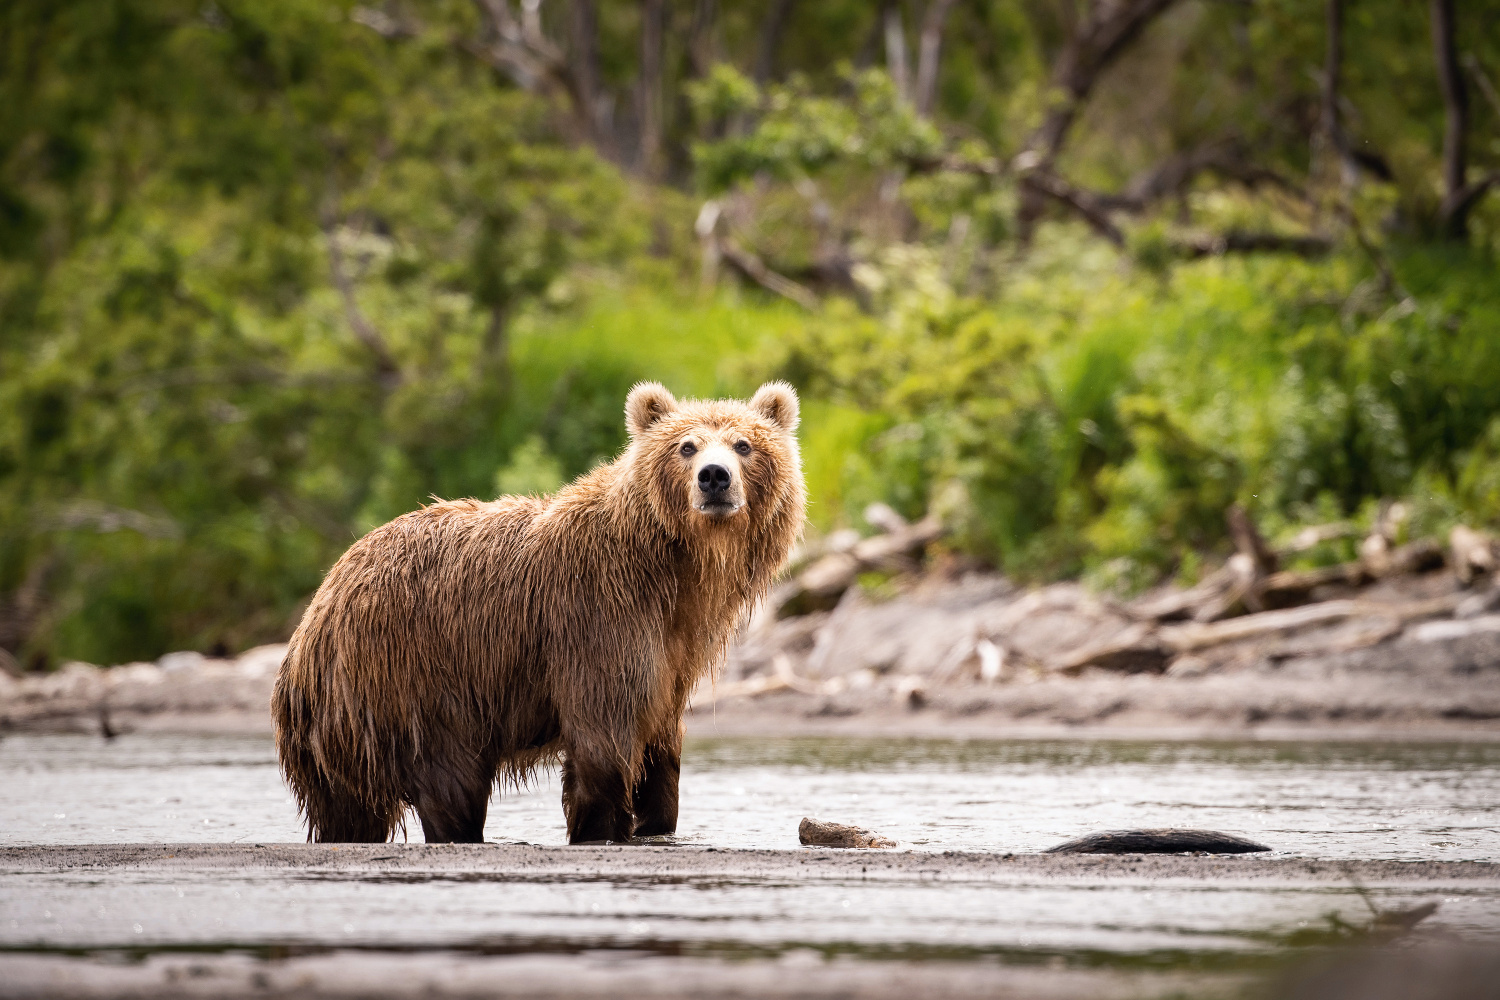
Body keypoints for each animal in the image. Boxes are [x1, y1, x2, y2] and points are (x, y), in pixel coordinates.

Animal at [270, 383, 810, 845]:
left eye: (743, 444)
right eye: (686, 446)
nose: (714, 477)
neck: (675, 572)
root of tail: (313, 618)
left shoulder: (677, 650)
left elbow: (660, 744)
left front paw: (656, 819)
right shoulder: (597, 615)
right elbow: (602, 738)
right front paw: (602, 826)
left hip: (342, 733)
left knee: (348, 810)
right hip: (411, 680)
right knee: (451, 786)